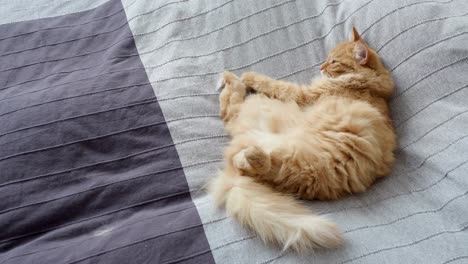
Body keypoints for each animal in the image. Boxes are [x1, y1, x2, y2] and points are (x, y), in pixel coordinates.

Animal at [208, 27, 394, 253]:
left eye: (334, 62)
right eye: (327, 58)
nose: (321, 67)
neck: (370, 84)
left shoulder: (302, 94)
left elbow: (275, 84)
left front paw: (250, 76)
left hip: (259, 113)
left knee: (232, 114)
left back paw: (231, 80)